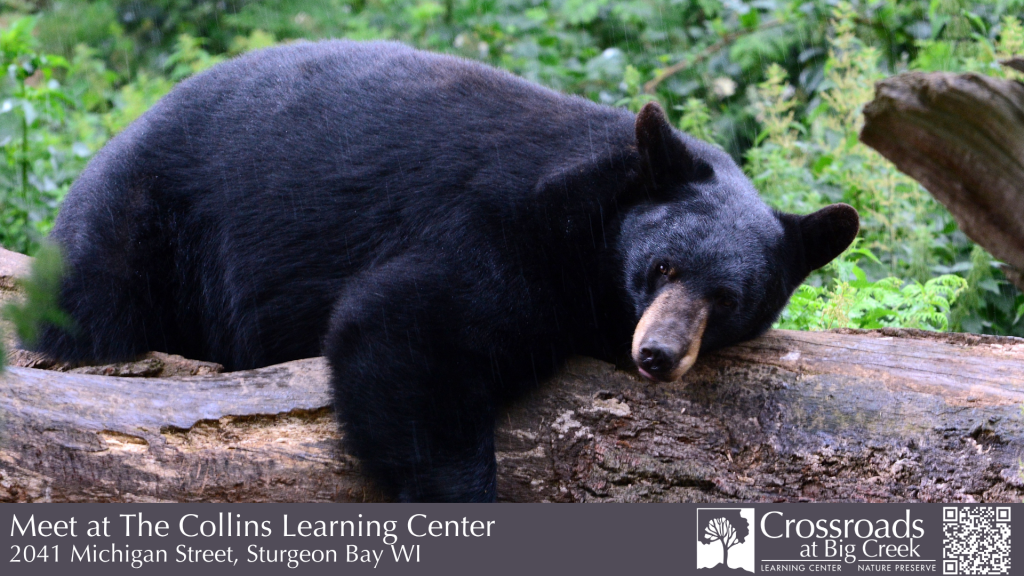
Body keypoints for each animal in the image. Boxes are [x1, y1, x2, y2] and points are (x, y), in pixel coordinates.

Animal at [37, 40, 859, 502]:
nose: (657, 355)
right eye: (661, 266)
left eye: (728, 299)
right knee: (96, 307)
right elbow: (409, 329)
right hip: (143, 223)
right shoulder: (499, 226)